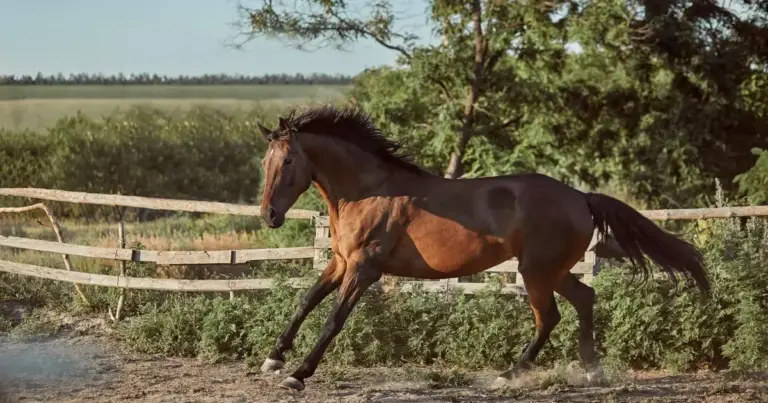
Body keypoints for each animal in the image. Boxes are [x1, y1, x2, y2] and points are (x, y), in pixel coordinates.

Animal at [254, 105, 710, 392]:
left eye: (289, 161)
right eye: (265, 162)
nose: (269, 216)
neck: (368, 192)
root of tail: (581, 197)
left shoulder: (363, 269)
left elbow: (333, 320)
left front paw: (298, 374)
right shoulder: (339, 263)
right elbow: (305, 302)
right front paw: (273, 359)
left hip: (536, 272)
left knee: (550, 316)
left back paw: (509, 375)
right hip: (554, 270)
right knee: (584, 298)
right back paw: (591, 370)